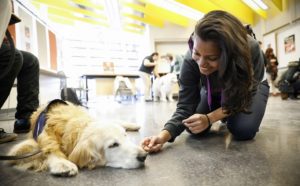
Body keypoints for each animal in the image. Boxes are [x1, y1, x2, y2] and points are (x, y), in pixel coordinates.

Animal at [7, 99, 146, 177]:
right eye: (113, 145)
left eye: (125, 137)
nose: (143, 156)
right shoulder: (39, 138)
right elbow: (47, 148)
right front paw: (62, 163)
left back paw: (133, 125)